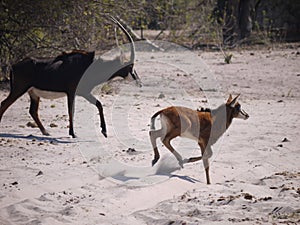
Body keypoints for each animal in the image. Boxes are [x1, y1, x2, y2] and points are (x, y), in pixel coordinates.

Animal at [0, 16, 141, 137]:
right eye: (130, 66)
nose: (139, 82)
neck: (89, 66)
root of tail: (14, 66)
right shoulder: (71, 92)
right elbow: (71, 110)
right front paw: (73, 133)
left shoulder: (84, 92)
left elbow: (99, 104)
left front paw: (104, 131)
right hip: (19, 89)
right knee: (4, 104)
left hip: (33, 93)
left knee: (32, 111)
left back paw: (46, 132)